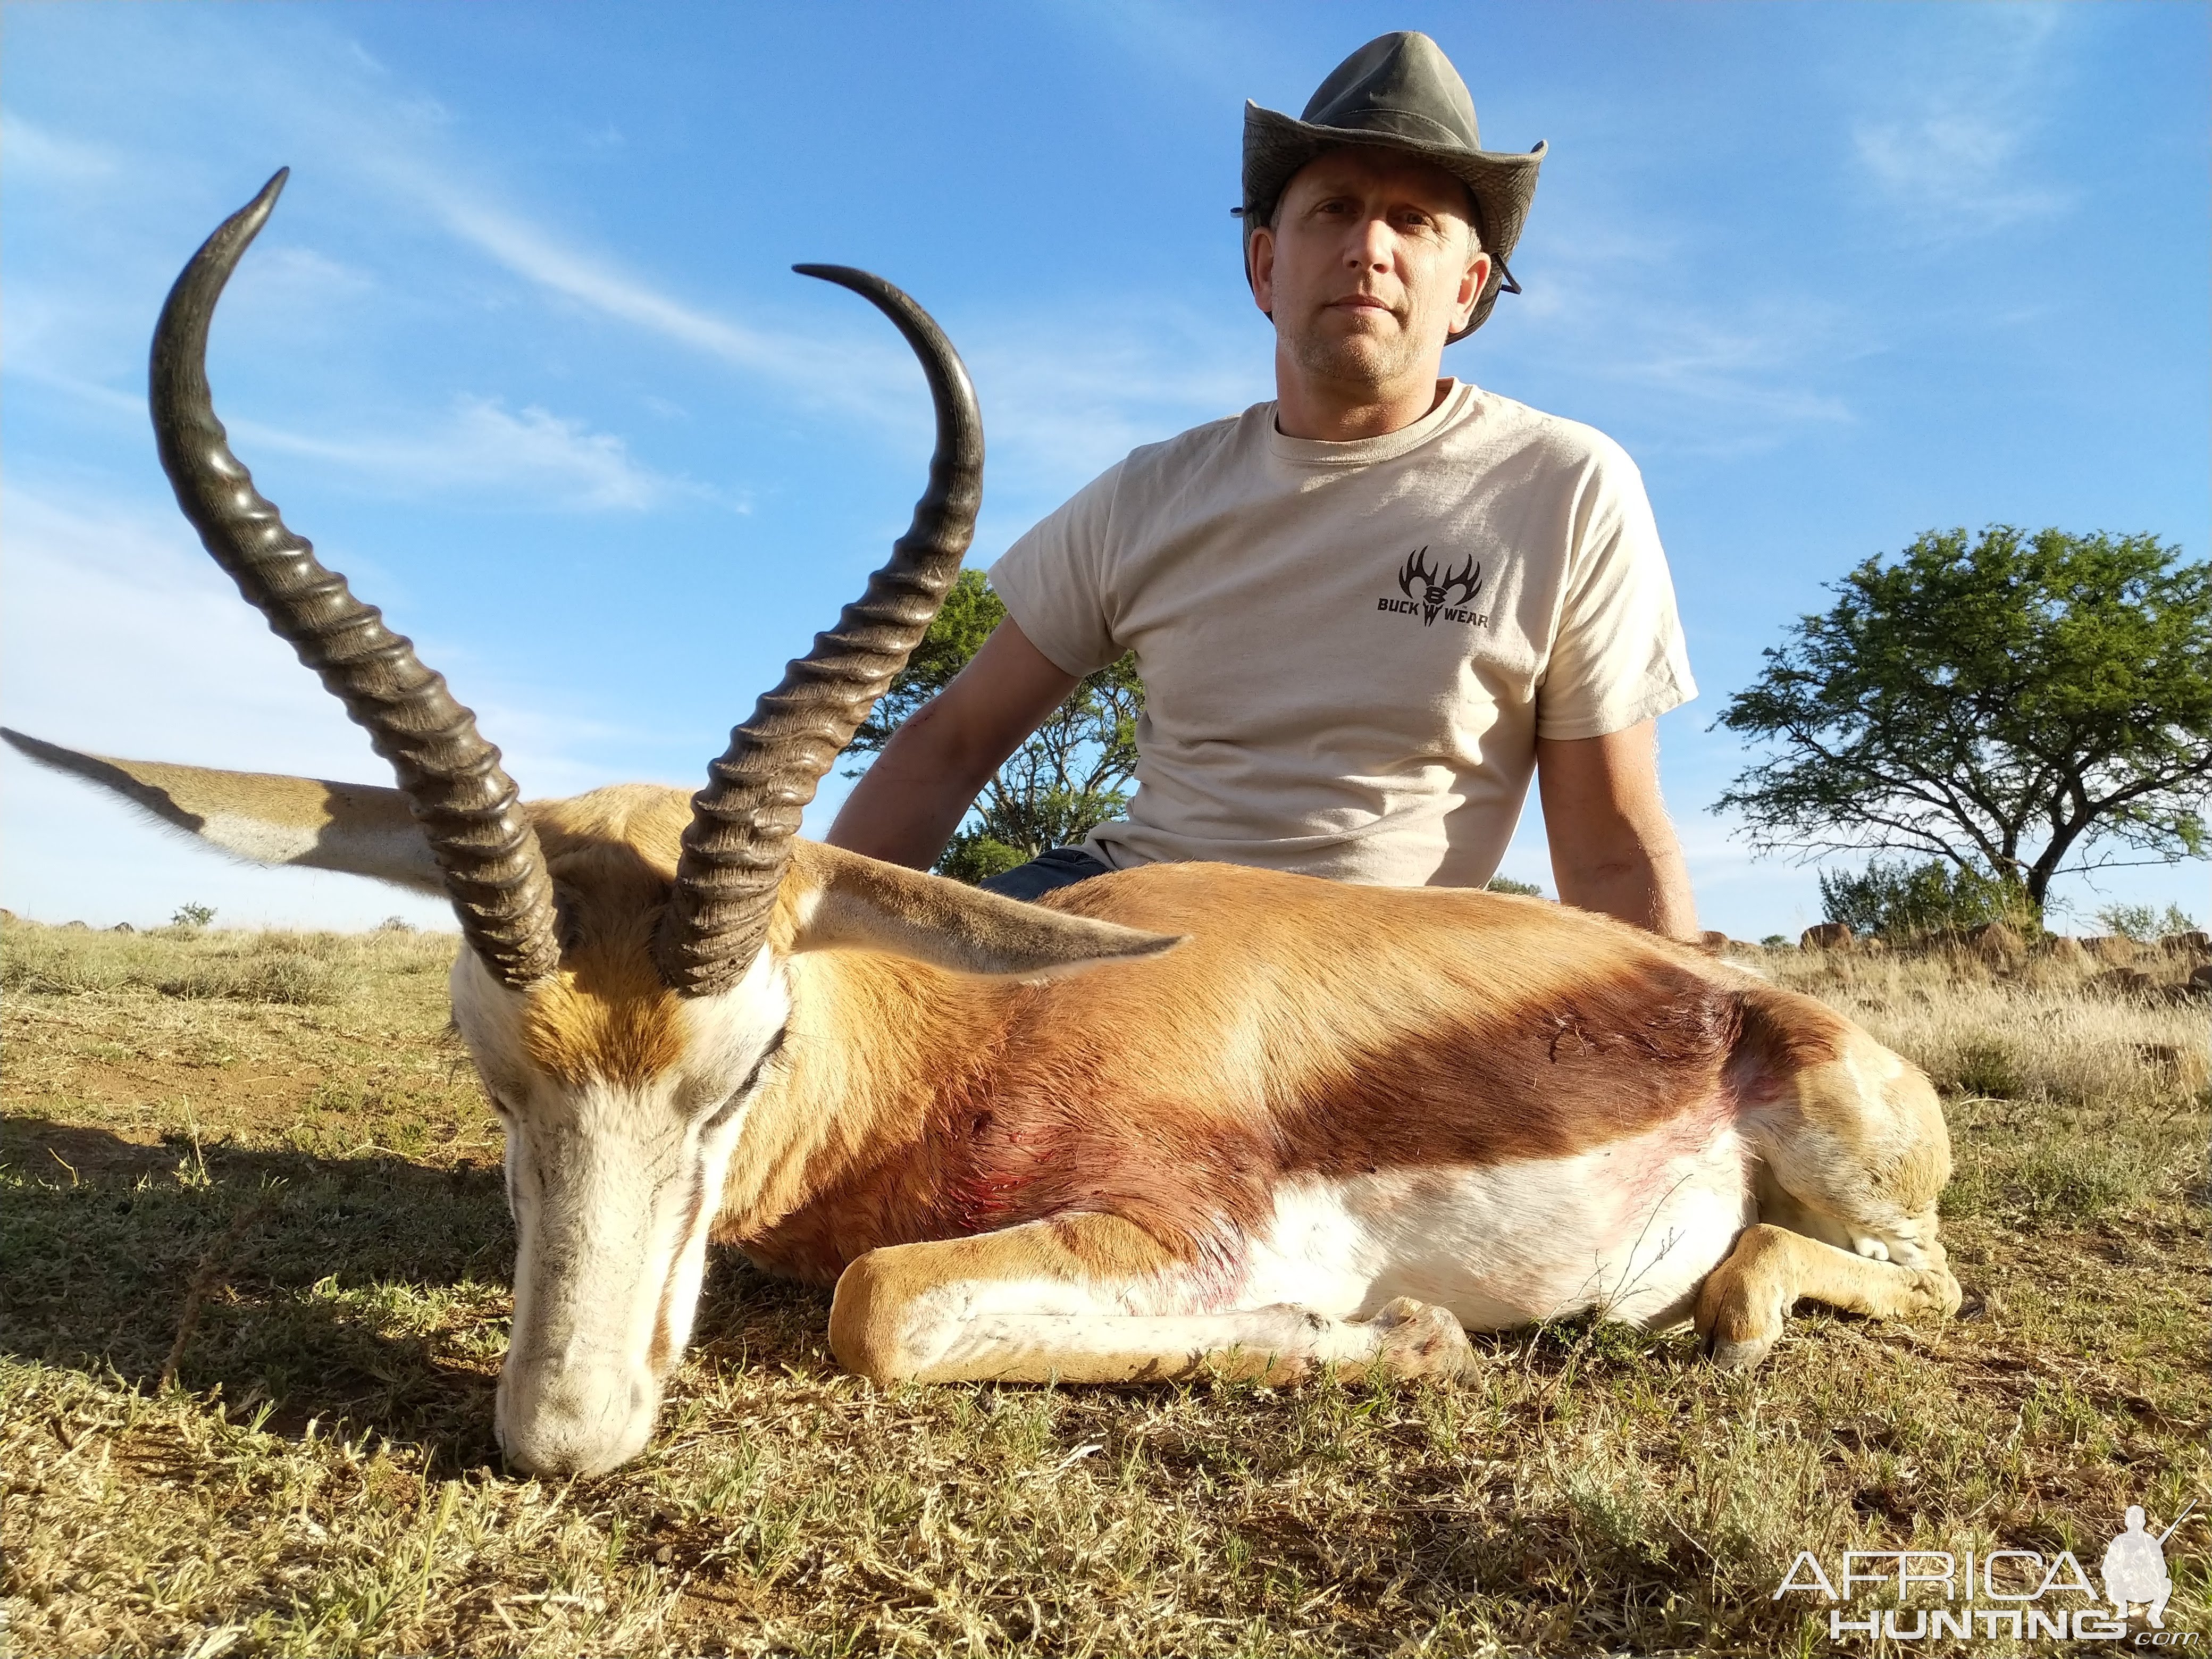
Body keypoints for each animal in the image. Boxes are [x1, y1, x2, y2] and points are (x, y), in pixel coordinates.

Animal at [9, 179, 1964, 1477]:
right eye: (488, 1064)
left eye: (745, 1061)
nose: (565, 1437)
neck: (956, 1042)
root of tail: (1732, 999)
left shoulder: (1190, 1227)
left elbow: (880, 1307)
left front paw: (1395, 1337)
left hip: (1858, 1179)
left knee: (1868, 1281)